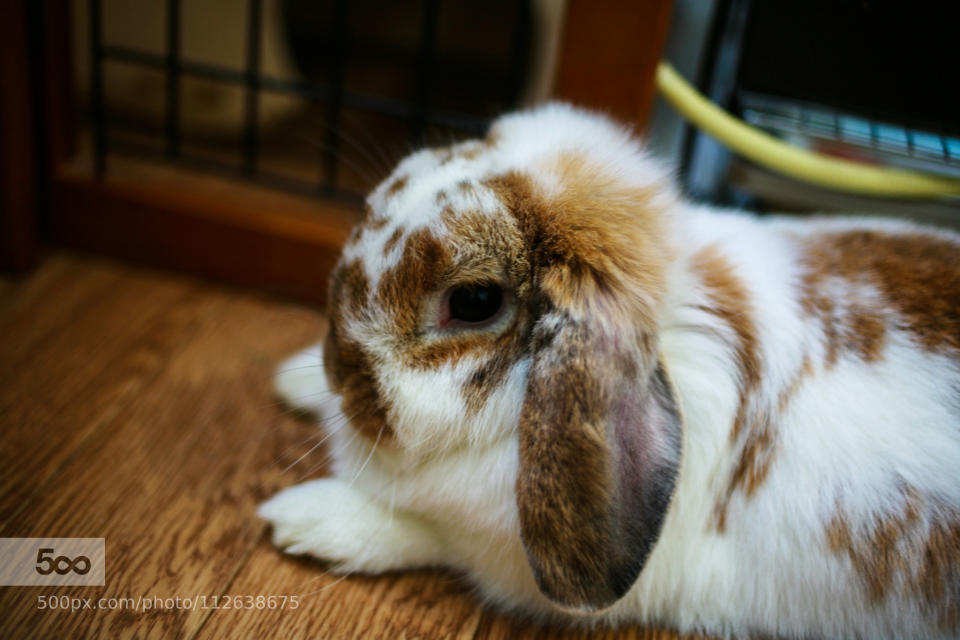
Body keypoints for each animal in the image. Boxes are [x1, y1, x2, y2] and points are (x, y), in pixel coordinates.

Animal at [258, 102, 960, 636]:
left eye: (474, 302)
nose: (339, 370)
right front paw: (296, 379)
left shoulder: (500, 558)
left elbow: (420, 532)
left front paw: (303, 518)